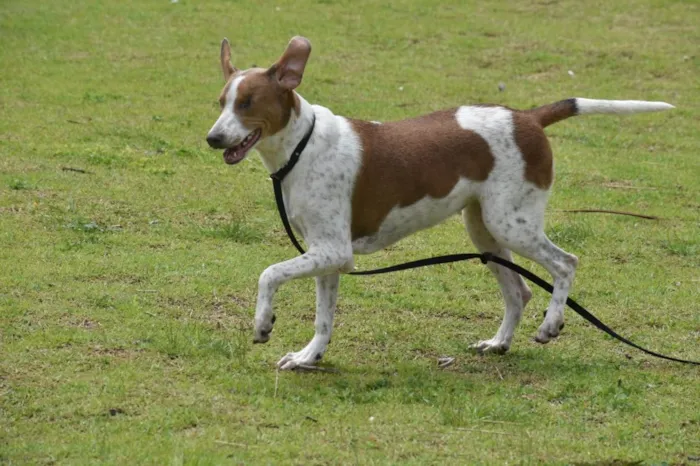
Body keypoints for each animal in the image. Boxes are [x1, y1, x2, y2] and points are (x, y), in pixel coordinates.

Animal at [206, 35, 672, 372]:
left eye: (247, 103)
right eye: (221, 102)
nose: (212, 138)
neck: (302, 146)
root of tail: (527, 116)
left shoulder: (333, 252)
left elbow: (268, 274)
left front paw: (263, 324)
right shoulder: (328, 256)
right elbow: (323, 319)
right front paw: (309, 357)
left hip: (510, 224)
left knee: (565, 264)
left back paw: (551, 323)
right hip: (484, 232)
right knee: (518, 291)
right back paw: (499, 343)